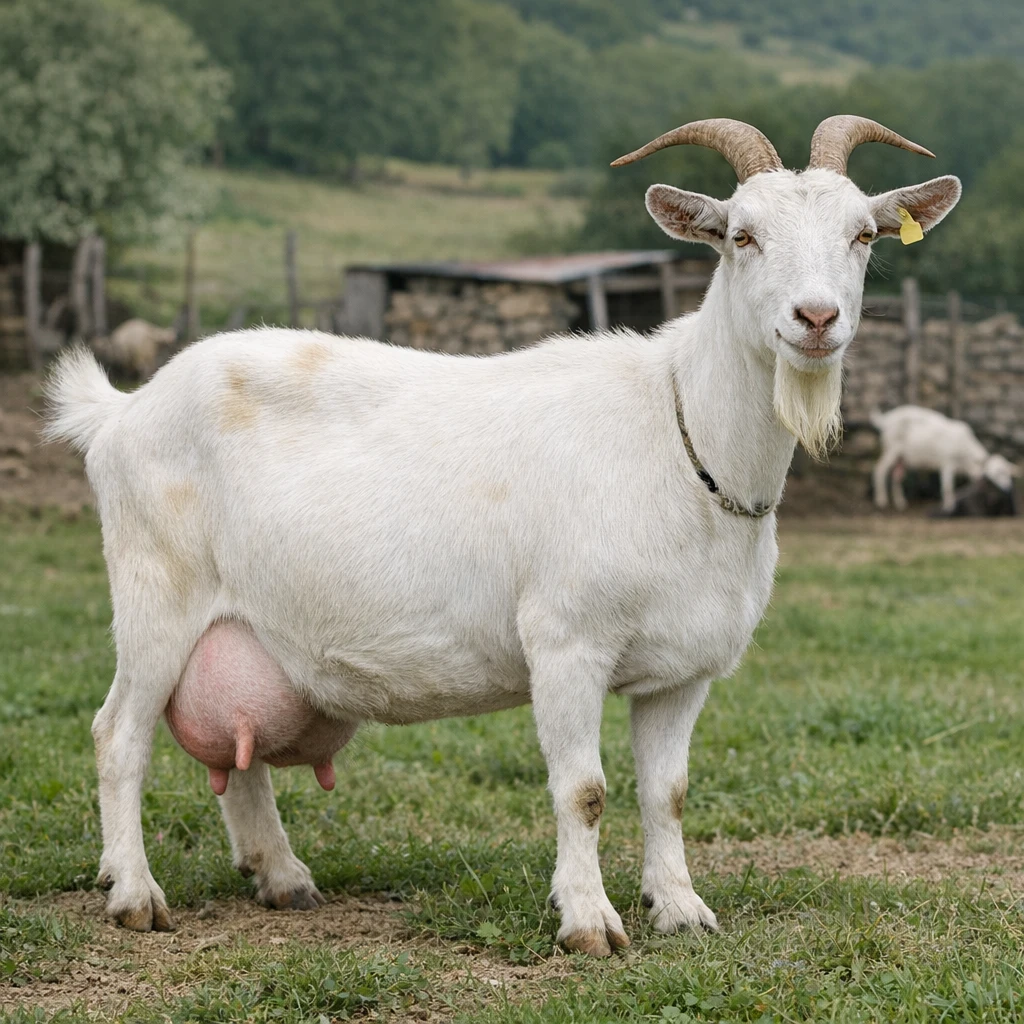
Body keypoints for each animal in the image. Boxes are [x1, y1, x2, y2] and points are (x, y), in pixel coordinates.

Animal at [45, 116, 960, 955]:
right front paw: (589, 922)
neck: (680, 439)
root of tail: (122, 410)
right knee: (118, 735)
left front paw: (681, 910)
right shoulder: (565, 641)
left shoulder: (683, 671)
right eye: (742, 235)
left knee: (236, 754)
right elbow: (583, 791)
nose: (817, 318)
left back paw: (282, 877)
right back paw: (134, 894)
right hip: (155, 594)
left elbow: (667, 794)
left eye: (864, 235)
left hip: (246, 627)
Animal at [871, 405, 1019, 513]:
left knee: (896, 476)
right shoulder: (947, 462)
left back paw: (900, 503)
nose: (1008, 488)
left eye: (1007, 471)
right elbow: (947, 486)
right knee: (880, 469)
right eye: (998, 472)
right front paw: (949, 507)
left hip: (902, 458)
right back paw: (881, 501)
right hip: (892, 449)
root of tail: (886, 419)